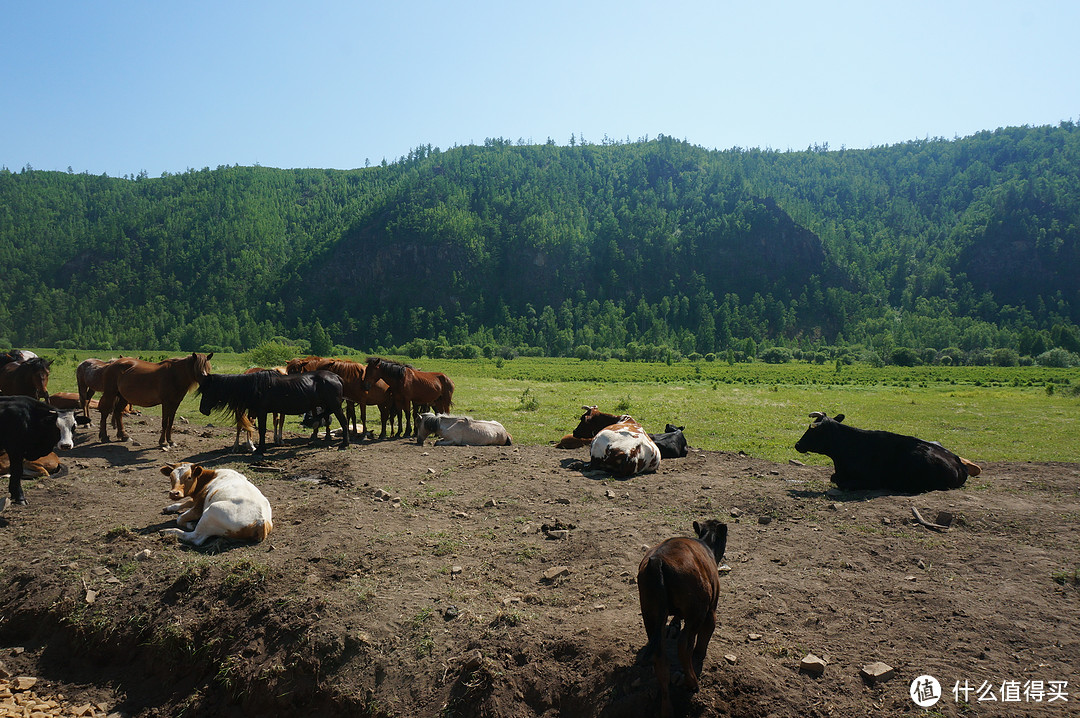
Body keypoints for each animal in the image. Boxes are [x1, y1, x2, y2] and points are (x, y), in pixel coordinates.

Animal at [192, 369, 347, 453]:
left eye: (207, 390)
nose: (202, 409)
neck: (254, 386)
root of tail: (336, 377)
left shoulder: (261, 411)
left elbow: (262, 430)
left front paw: (260, 450)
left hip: (335, 407)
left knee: (344, 422)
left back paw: (344, 444)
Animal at [635, 518, 730, 716]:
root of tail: (657, 561)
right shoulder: (711, 611)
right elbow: (702, 641)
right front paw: (699, 657)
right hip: (696, 613)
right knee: (683, 646)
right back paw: (692, 682)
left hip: (650, 615)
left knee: (661, 660)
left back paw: (667, 709)